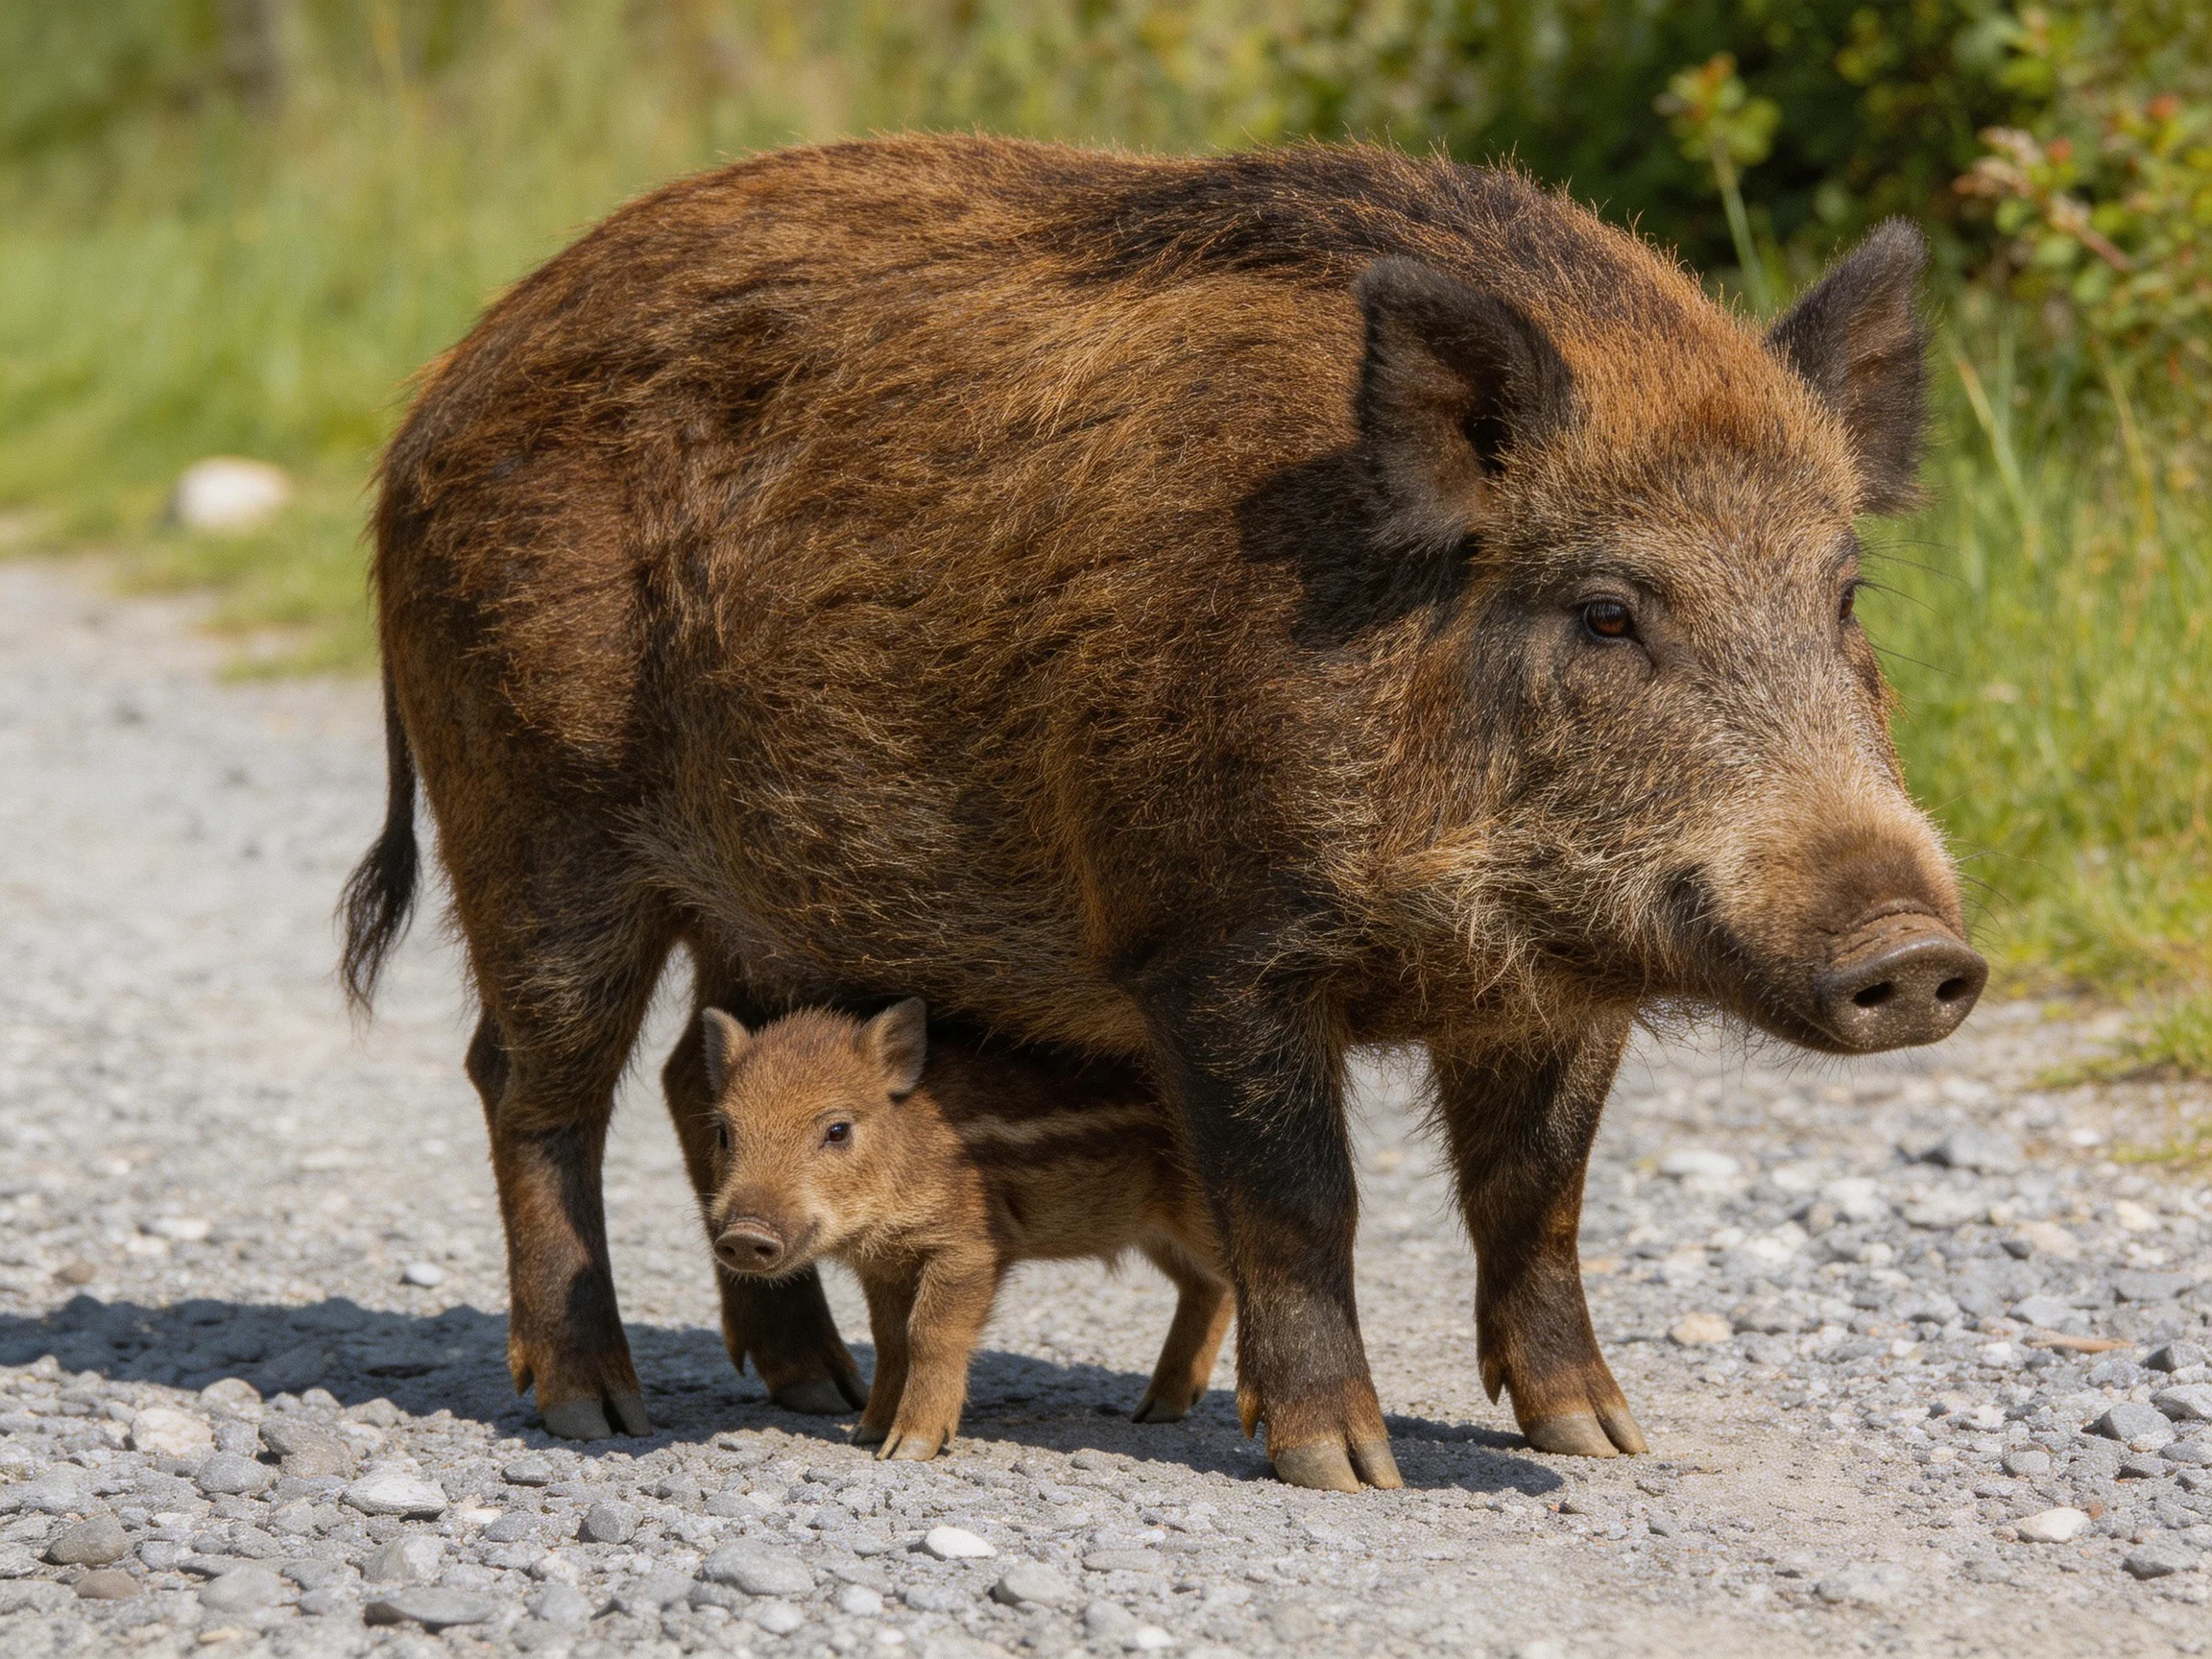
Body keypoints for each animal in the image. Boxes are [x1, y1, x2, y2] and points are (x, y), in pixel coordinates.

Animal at [697, 999, 1231, 1458]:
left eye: (837, 1130)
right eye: (724, 1132)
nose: (745, 1234)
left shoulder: (969, 1246)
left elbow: (930, 1334)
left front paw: (909, 1448)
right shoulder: (884, 1267)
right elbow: (890, 1340)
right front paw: (865, 1434)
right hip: (1158, 1236)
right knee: (1208, 1286)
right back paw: (1154, 1410)